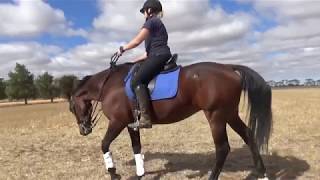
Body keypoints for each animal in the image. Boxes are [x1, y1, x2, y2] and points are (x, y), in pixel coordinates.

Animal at [69, 56, 272, 180]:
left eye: (72, 108)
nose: (84, 130)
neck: (110, 85)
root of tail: (228, 68)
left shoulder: (117, 122)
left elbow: (104, 145)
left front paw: (113, 173)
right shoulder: (131, 124)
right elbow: (136, 148)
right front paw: (140, 173)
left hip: (216, 115)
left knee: (222, 148)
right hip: (229, 113)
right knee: (248, 135)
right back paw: (262, 173)